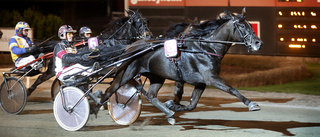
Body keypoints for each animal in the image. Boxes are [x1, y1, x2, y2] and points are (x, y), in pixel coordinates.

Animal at [94, 8, 262, 124]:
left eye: (250, 25)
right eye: (242, 26)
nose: (258, 42)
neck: (207, 48)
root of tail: (130, 47)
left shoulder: (200, 83)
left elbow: (192, 105)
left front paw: (172, 105)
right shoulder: (211, 78)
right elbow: (231, 89)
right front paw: (251, 104)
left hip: (157, 77)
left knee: (151, 96)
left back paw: (168, 113)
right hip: (125, 73)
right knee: (110, 90)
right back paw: (95, 108)